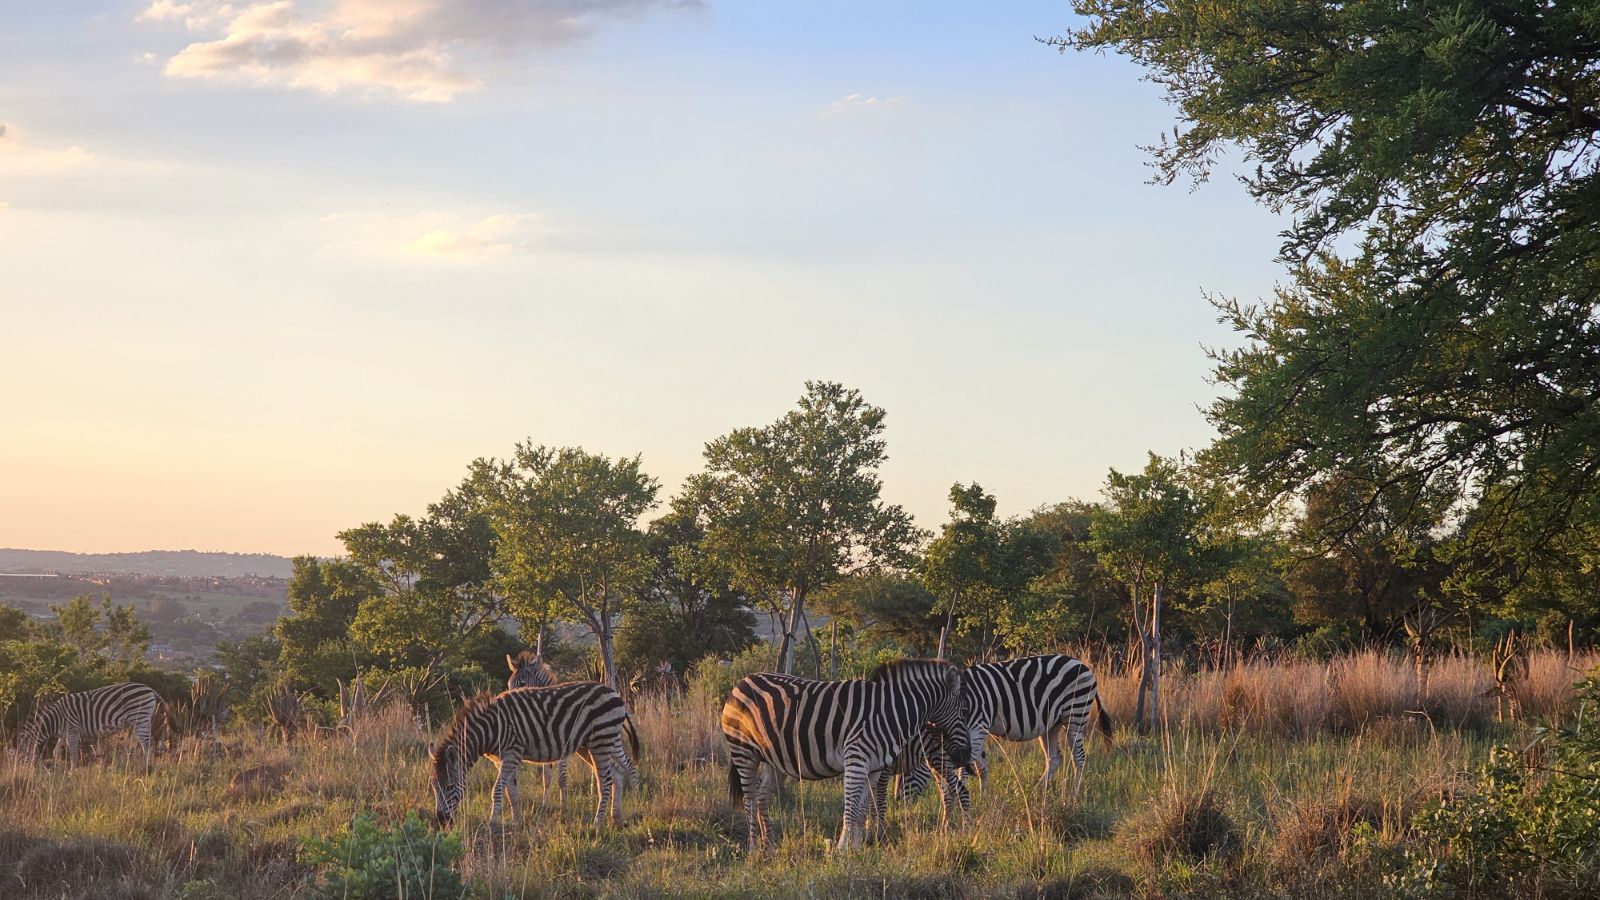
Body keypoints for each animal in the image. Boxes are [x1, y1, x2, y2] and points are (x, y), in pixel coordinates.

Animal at [17, 682, 164, 764]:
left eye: (23, 753)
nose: (28, 771)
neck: (54, 720)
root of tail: (150, 689)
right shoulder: (64, 733)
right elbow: (56, 751)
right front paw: (59, 769)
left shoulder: (72, 729)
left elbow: (73, 753)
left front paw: (73, 772)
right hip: (143, 719)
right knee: (151, 741)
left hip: (139, 717)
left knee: (147, 743)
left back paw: (145, 766)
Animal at [430, 682, 640, 828]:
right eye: (433, 787)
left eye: (449, 786)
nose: (441, 822)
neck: (490, 728)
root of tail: (614, 693)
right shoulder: (502, 760)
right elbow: (512, 792)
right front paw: (516, 821)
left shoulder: (512, 754)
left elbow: (497, 790)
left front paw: (493, 822)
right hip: (594, 744)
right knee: (620, 772)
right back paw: (617, 817)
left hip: (601, 741)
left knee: (606, 780)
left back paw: (599, 821)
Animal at [506, 650, 570, 801]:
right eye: (508, 684)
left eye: (523, 684)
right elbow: (546, 777)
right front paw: (544, 803)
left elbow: (562, 778)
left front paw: (564, 804)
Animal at [722, 658, 970, 850]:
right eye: (964, 710)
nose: (964, 757)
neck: (889, 712)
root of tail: (742, 682)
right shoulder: (856, 760)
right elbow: (851, 808)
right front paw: (842, 849)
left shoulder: (874, 768)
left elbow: (861, 809)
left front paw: (858, 848)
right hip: (744, 752)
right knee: (750, 799)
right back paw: (754, 848)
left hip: (775, 760)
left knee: (761, 796)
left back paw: (771, 845)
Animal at [899, 654, 1113, 806]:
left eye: (907, 770)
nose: (899, 801)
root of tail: (1083, 665)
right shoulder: (976, 731)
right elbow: (981, 766)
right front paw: (984, 798)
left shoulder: (977, 726)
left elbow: (967, 766)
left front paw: (964, 796)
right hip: (1052, 724)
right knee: (1054, 758)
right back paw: (1037, 792)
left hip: (1076, 713)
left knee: (1079, 757)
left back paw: (1073, 795)